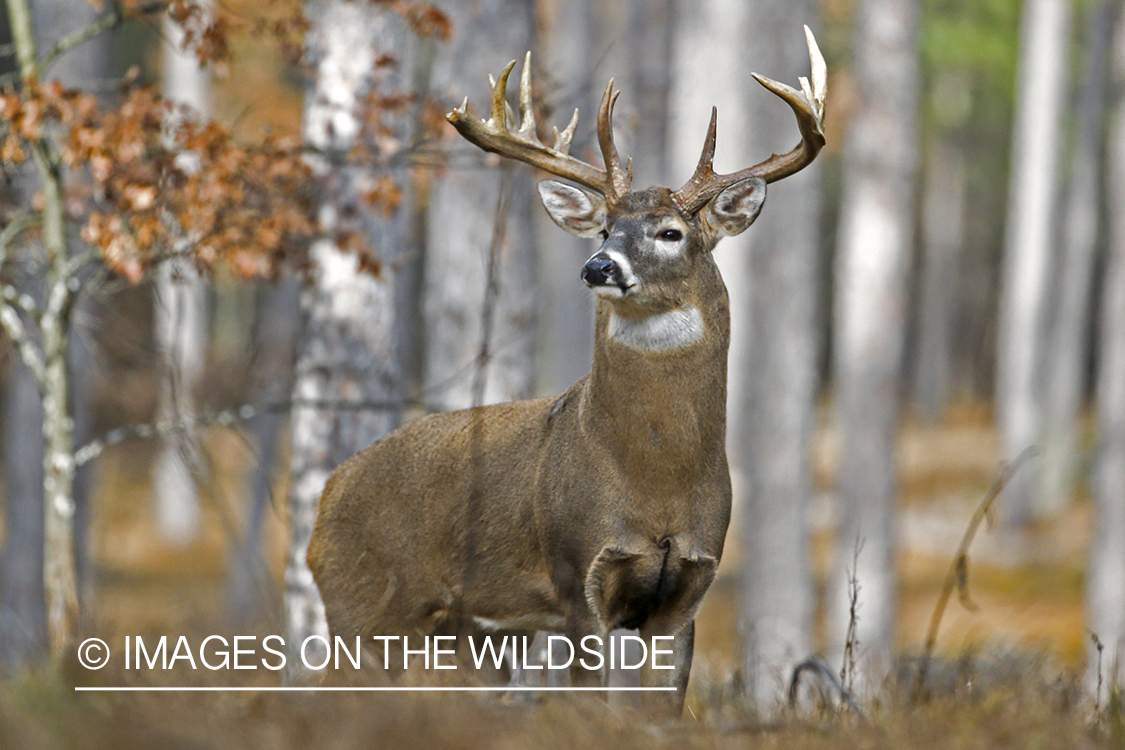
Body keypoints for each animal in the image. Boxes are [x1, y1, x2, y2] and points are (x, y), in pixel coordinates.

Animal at [308, 26, 828, 715]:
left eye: (670, 232)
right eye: (605, 227)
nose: (598, 266)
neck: (655, 482)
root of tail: (325, 500)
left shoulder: (687, 590)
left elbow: (661, 712)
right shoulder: (579, 573)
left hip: (471, 637)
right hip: (361, 608)